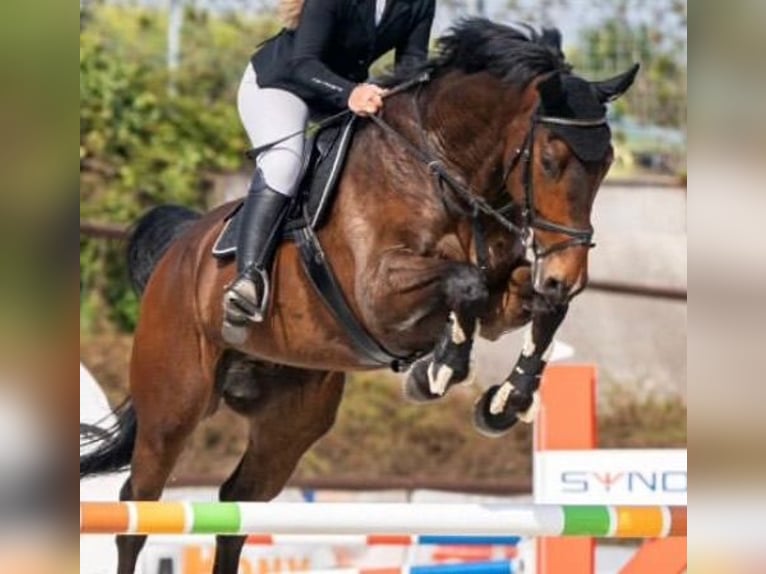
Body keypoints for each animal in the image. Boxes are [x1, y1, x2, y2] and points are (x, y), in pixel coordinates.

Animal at [81, 20, 640, 574]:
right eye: (548, 160)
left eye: (607, 163)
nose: (567, 274)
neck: (443, 170)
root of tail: (178, 252)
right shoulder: (378, 294)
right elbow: (466, 282)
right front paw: (437, 371)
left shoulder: (507, 296)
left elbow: (534, 306)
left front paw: (505, 402)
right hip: (173, 407)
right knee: (138, 504)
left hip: (291, 421)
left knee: (238, 503)